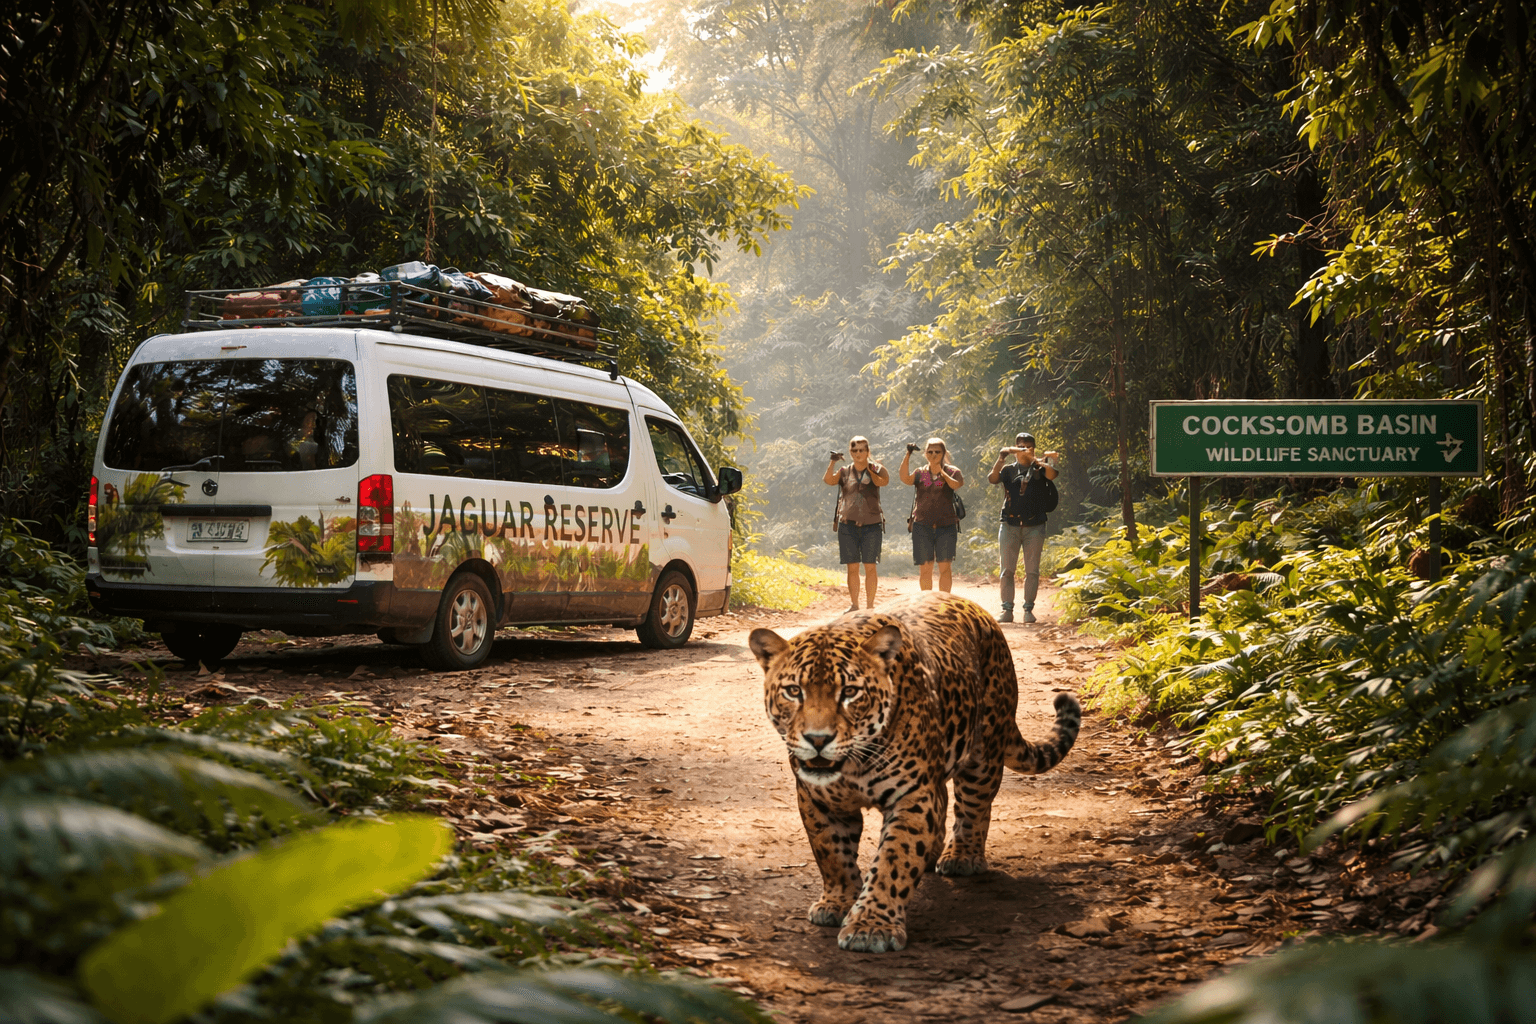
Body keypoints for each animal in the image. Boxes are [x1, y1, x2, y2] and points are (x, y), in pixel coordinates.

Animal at [747, 591, 1081, 953]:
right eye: (794, 691)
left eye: (850, 692)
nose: (818, 739)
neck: (853, 765)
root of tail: (979, 611)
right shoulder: (817, 800)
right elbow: (831, 853)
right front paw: (838, 902)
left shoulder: (913, 796)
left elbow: (894, 860)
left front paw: (871, 926)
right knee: (945, 799)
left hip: (984, 754)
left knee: (974, 807)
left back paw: (961, 856)